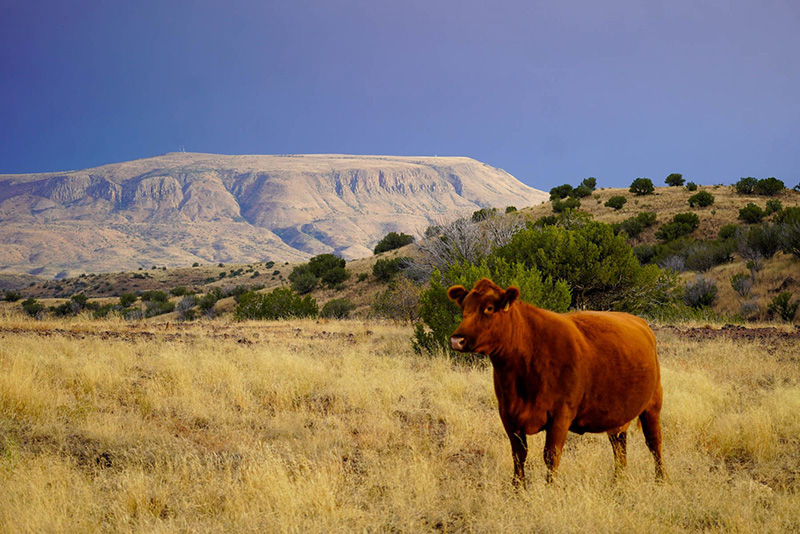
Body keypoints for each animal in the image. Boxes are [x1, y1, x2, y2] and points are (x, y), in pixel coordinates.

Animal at [447, 278, 664, 486]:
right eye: (464, 308)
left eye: (489, 308)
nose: (457, 340)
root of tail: (639, 321)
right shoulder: (508, 414)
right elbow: (518, 455)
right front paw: (517, 489)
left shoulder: (561, 415)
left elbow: (551, 456)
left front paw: (550, 488)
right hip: (617, 414)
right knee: (619, 444)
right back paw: (618, 481)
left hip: (653, 403)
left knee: (654, 443)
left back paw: (661, 480)